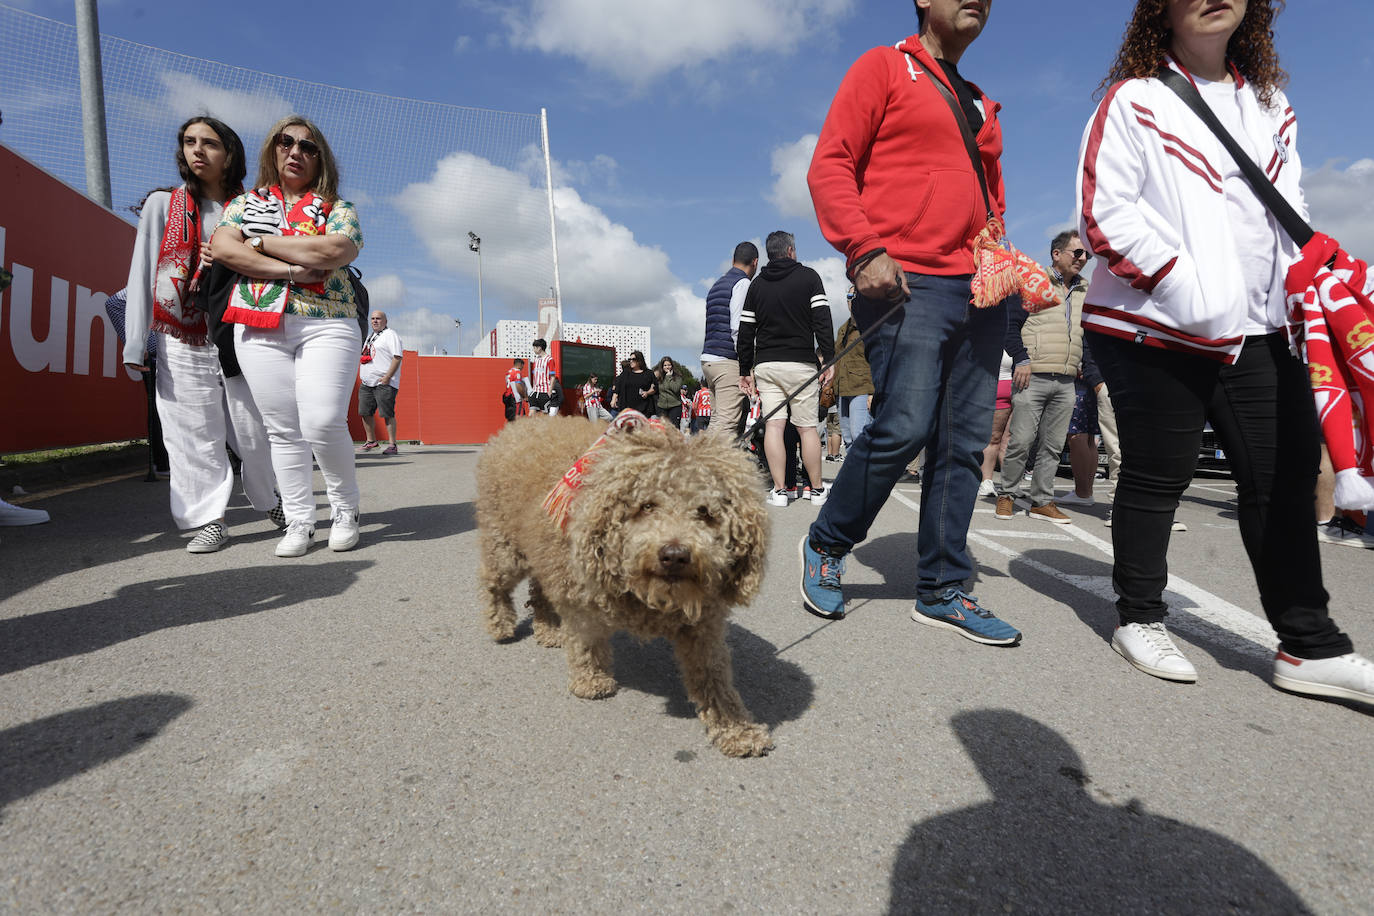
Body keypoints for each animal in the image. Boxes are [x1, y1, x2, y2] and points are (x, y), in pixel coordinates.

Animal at [475, 417, 774, 758]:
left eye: (705, 512)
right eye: (646, 506)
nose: (675, 555)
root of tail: (518, 425)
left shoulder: (703, 626)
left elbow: (714, 677)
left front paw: (737, 728)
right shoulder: (580, 598)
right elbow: (586, 641)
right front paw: (591, 678)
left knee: (539, 588)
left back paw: (548, 629)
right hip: (505, 546)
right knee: (495, 584)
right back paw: (500, 624)